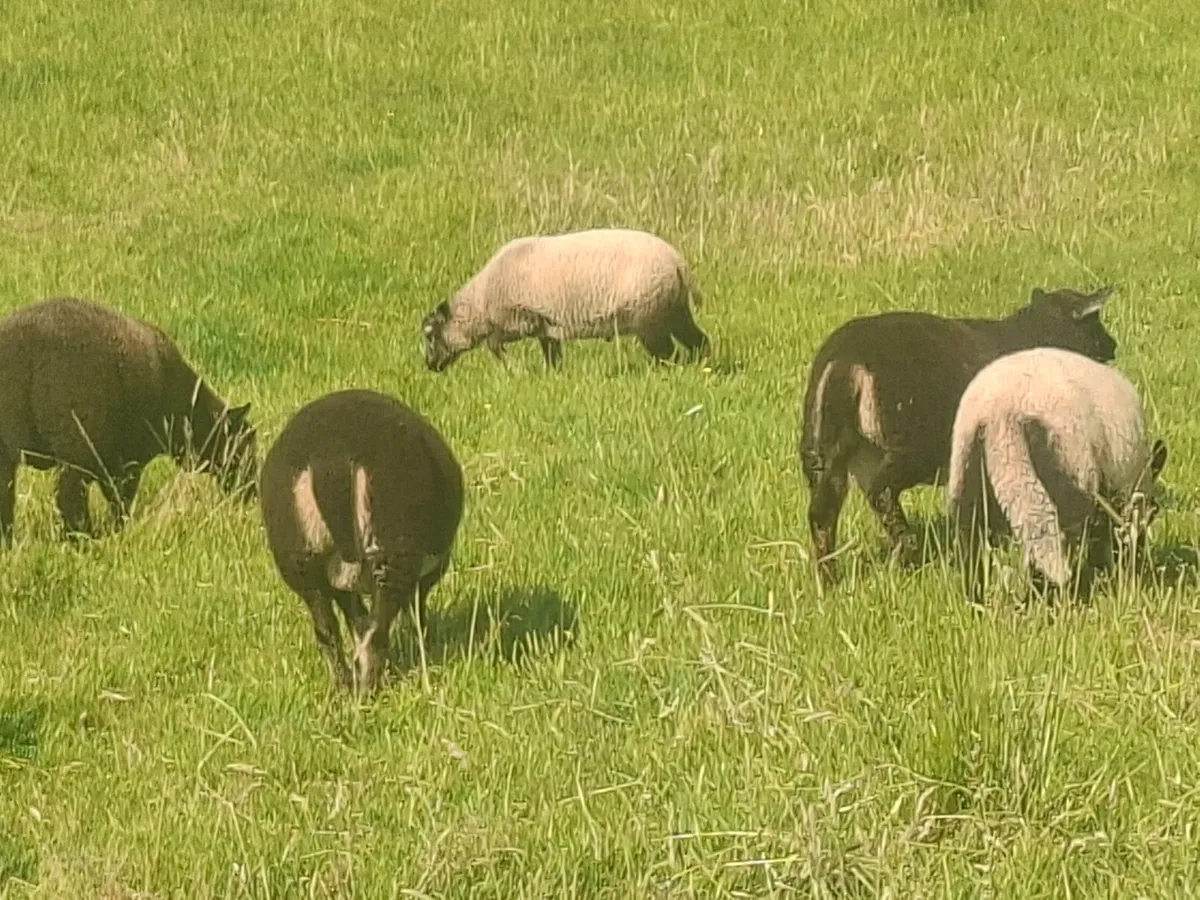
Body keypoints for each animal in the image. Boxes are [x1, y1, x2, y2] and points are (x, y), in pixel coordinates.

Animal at [0, 296, 258, 544]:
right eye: (244, 447)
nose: (253, 492)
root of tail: (25, 351)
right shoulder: (128, 462)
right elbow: (121, 503)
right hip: (76, 449)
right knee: (70, 499)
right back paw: (82, 539)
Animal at [259, 389, 465, 696]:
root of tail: (330, 458)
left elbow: (355, 618)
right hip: (391, 550)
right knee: (376, 632)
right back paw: (369, 688)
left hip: (299, 560)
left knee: (327, 629)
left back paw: (343, 687)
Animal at [420, 227, 709, 371]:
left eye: (430, 335)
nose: (430, 366)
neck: (482, 299)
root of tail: (677, 262)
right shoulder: (545, 326)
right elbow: (552, 354)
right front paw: (554, 375)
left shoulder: (520, 318)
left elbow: (493, 345)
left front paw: (515, 370)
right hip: (673, 309)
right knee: (699, 340)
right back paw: (701, 365)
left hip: (649, 317)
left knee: (667, 353)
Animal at [798, 285, 1119, 586]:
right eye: (1093, 321)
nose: (1113, 346)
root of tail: (844, 360)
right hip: (913, 449)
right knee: (881, 492)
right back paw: (905, 552)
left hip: (827, 450)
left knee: (822, 512)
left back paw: (828, 579)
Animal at [946, 347, 1167, 603]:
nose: (1138, 562)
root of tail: (1000, 415)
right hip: (1064, 482)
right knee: (1050, 540)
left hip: (967, 475)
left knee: (972, 546)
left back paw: (977, 600)